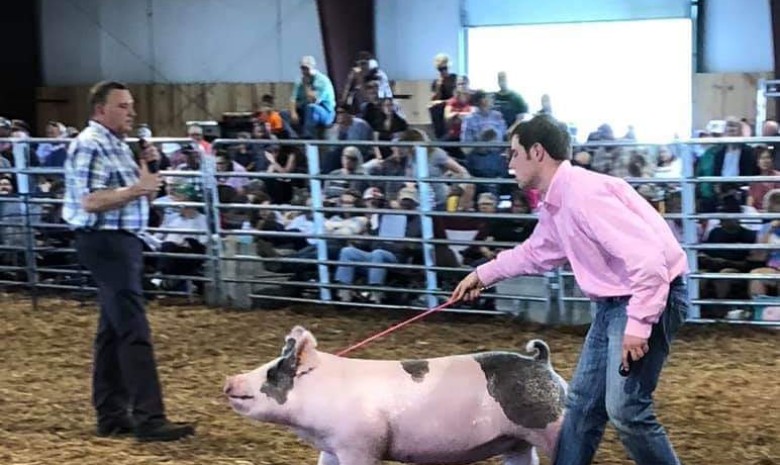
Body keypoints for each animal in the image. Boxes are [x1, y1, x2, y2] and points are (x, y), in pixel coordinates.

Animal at [225, 326, 568, 464]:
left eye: (272, 373)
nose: (230, 380)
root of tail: (541, 362)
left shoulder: (360, 445)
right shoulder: (331, 448)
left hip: (551, 427)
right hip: (517, 442)